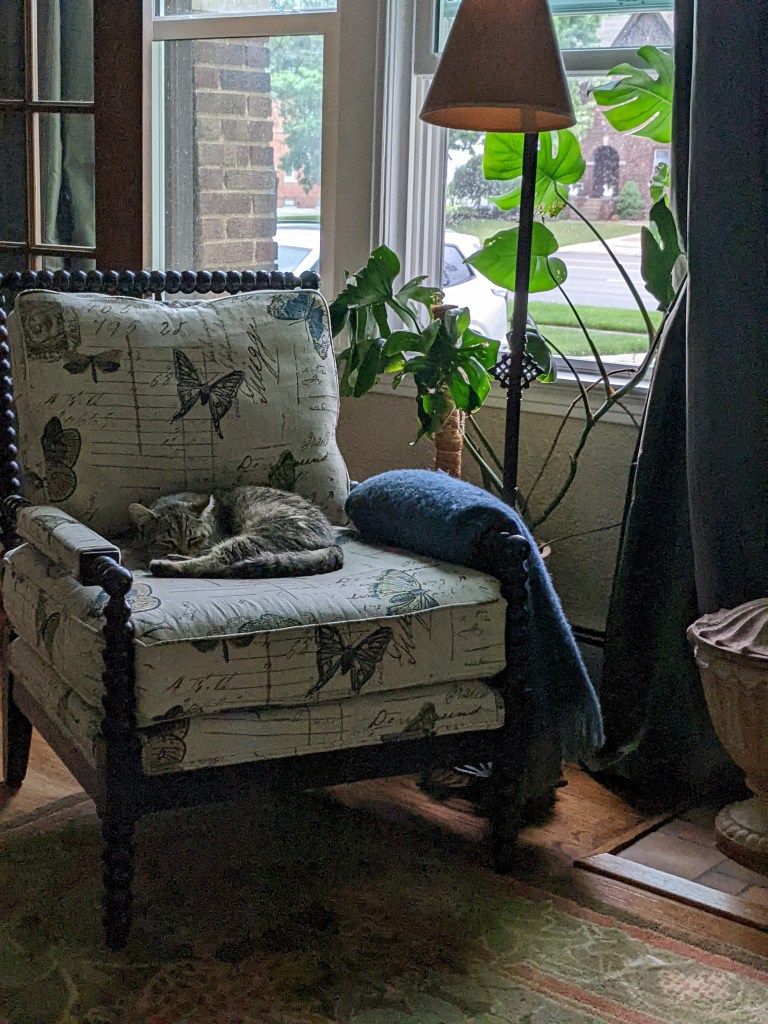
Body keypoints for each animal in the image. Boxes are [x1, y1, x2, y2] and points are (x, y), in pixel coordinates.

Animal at [128, 485, 344, 579]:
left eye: (194, 538)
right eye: (167, 541)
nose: (183, 550)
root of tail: (333, 544)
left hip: (257, 536)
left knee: (215, 563)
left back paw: (166, 564)